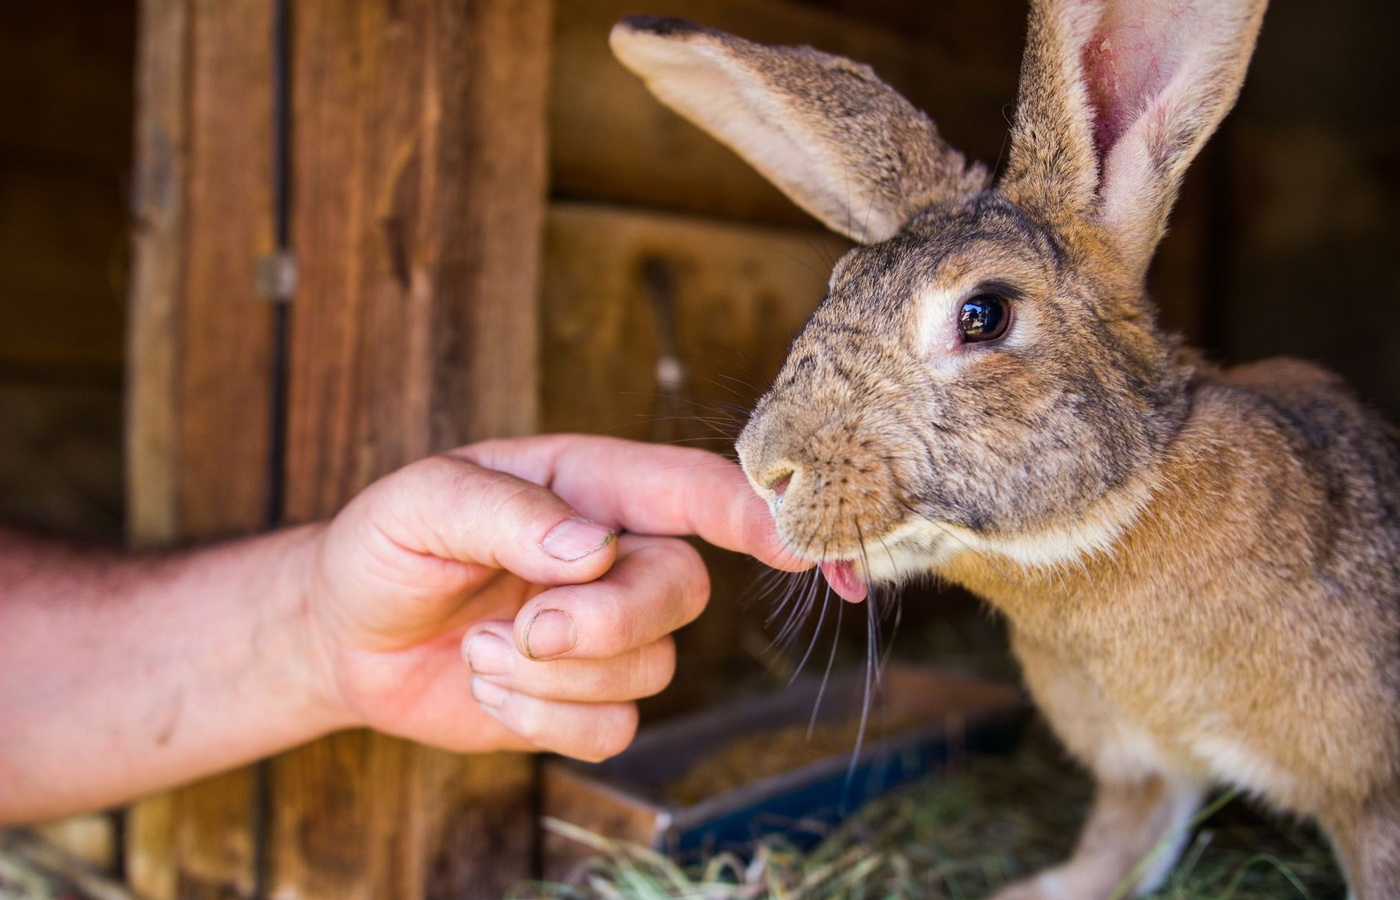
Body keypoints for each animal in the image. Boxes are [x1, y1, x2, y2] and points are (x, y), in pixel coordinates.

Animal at [610, 2, 1400, 898]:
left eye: (983, 314)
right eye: (837, 286)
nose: (764, 466)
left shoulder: (1374, 797)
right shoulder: (1144, 770)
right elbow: (1120, 844)